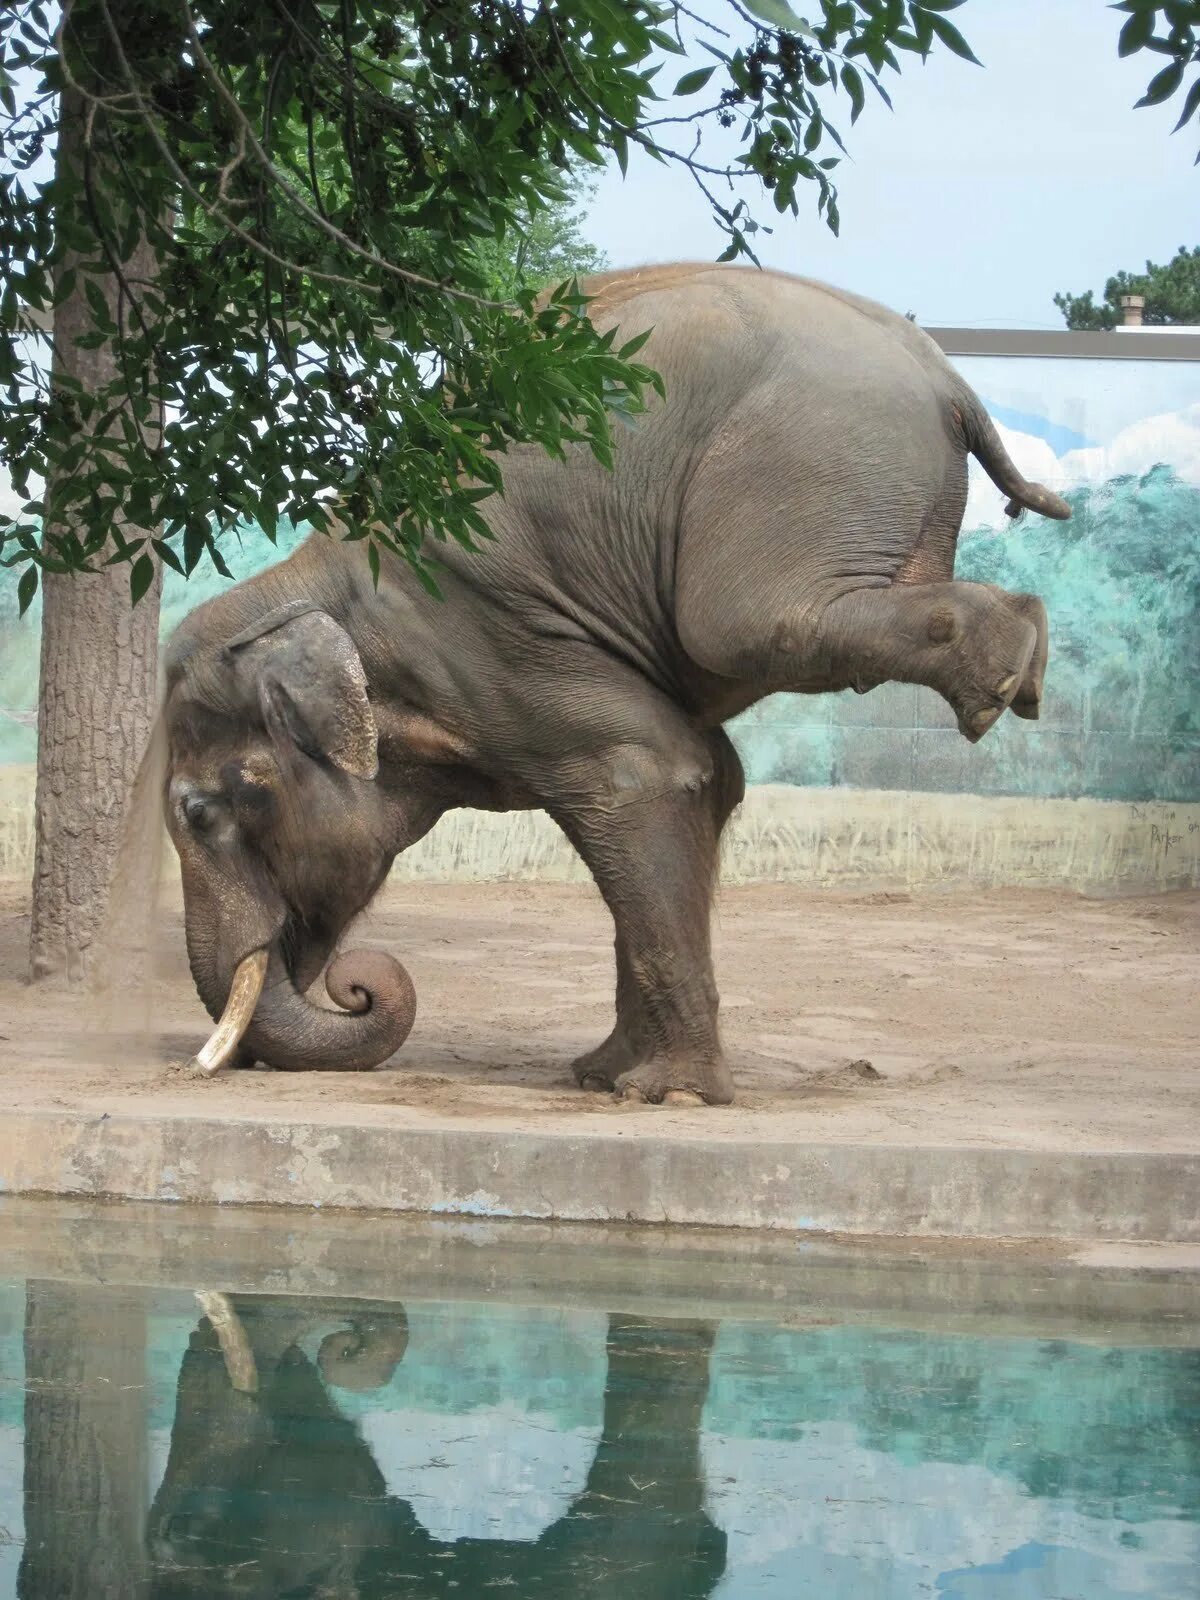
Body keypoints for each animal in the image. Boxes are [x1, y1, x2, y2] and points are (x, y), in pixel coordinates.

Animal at [160, 268, 1068, 1107]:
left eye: (200, 812)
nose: (357, 985)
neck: (321, 581)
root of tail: (946, 374)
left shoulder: (493, 642)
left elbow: (639, 776)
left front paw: (673, 1095)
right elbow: (707, 782)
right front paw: (605, 1077)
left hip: (807, 462)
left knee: (746, 619)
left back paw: (1005, 680)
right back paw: (1018, 665)